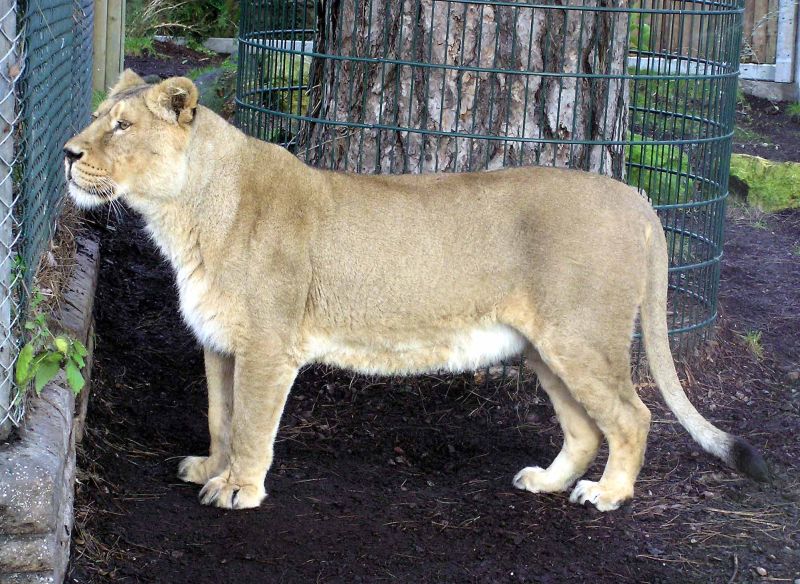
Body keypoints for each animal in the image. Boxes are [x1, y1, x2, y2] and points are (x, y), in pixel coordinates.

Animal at [64, 70, 768, 512]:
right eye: (96, 118)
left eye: (121, 126)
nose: (69, 153)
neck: (182, 215)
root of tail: (635, 197)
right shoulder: (219, 343)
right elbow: (220, 416)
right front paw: (211, 470)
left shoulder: (268, 345)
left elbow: (253, 423)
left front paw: (239, 489)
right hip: (544, 349)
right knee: (586, 429)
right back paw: (546, 481)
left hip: (582, 338)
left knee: (632, 416)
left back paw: (609, 495)